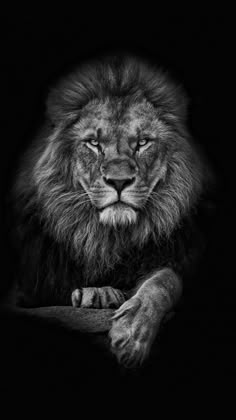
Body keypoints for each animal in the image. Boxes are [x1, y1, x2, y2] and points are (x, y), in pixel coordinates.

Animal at [11, 55, 210, 368]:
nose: (118, 181)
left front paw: (131, 334)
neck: (108, 238)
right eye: (94, 143)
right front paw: (98, 293)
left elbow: (164, 280)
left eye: (142, 142)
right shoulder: (25, 288)